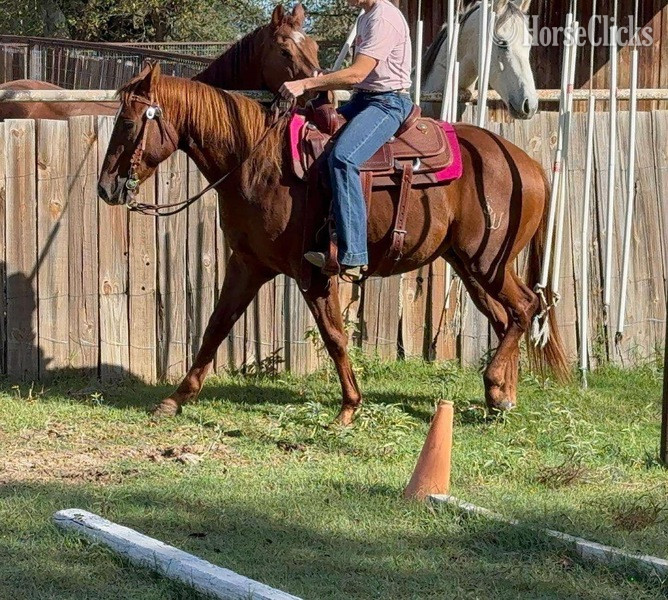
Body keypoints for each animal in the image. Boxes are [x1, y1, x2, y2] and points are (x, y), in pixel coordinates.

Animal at [97, 64, 568, 425]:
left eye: (127, 123)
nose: (105, 188)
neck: (257, 162)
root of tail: (527, 164)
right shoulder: (247, 264)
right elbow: (216, 327)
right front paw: (175, 399)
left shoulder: (313, 274)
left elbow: (334, 336)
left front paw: (349, 407)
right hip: (468, 266)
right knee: (505, 318)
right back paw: (500, 396)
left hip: (488, 262)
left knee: (526, 307)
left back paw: (495, 387)